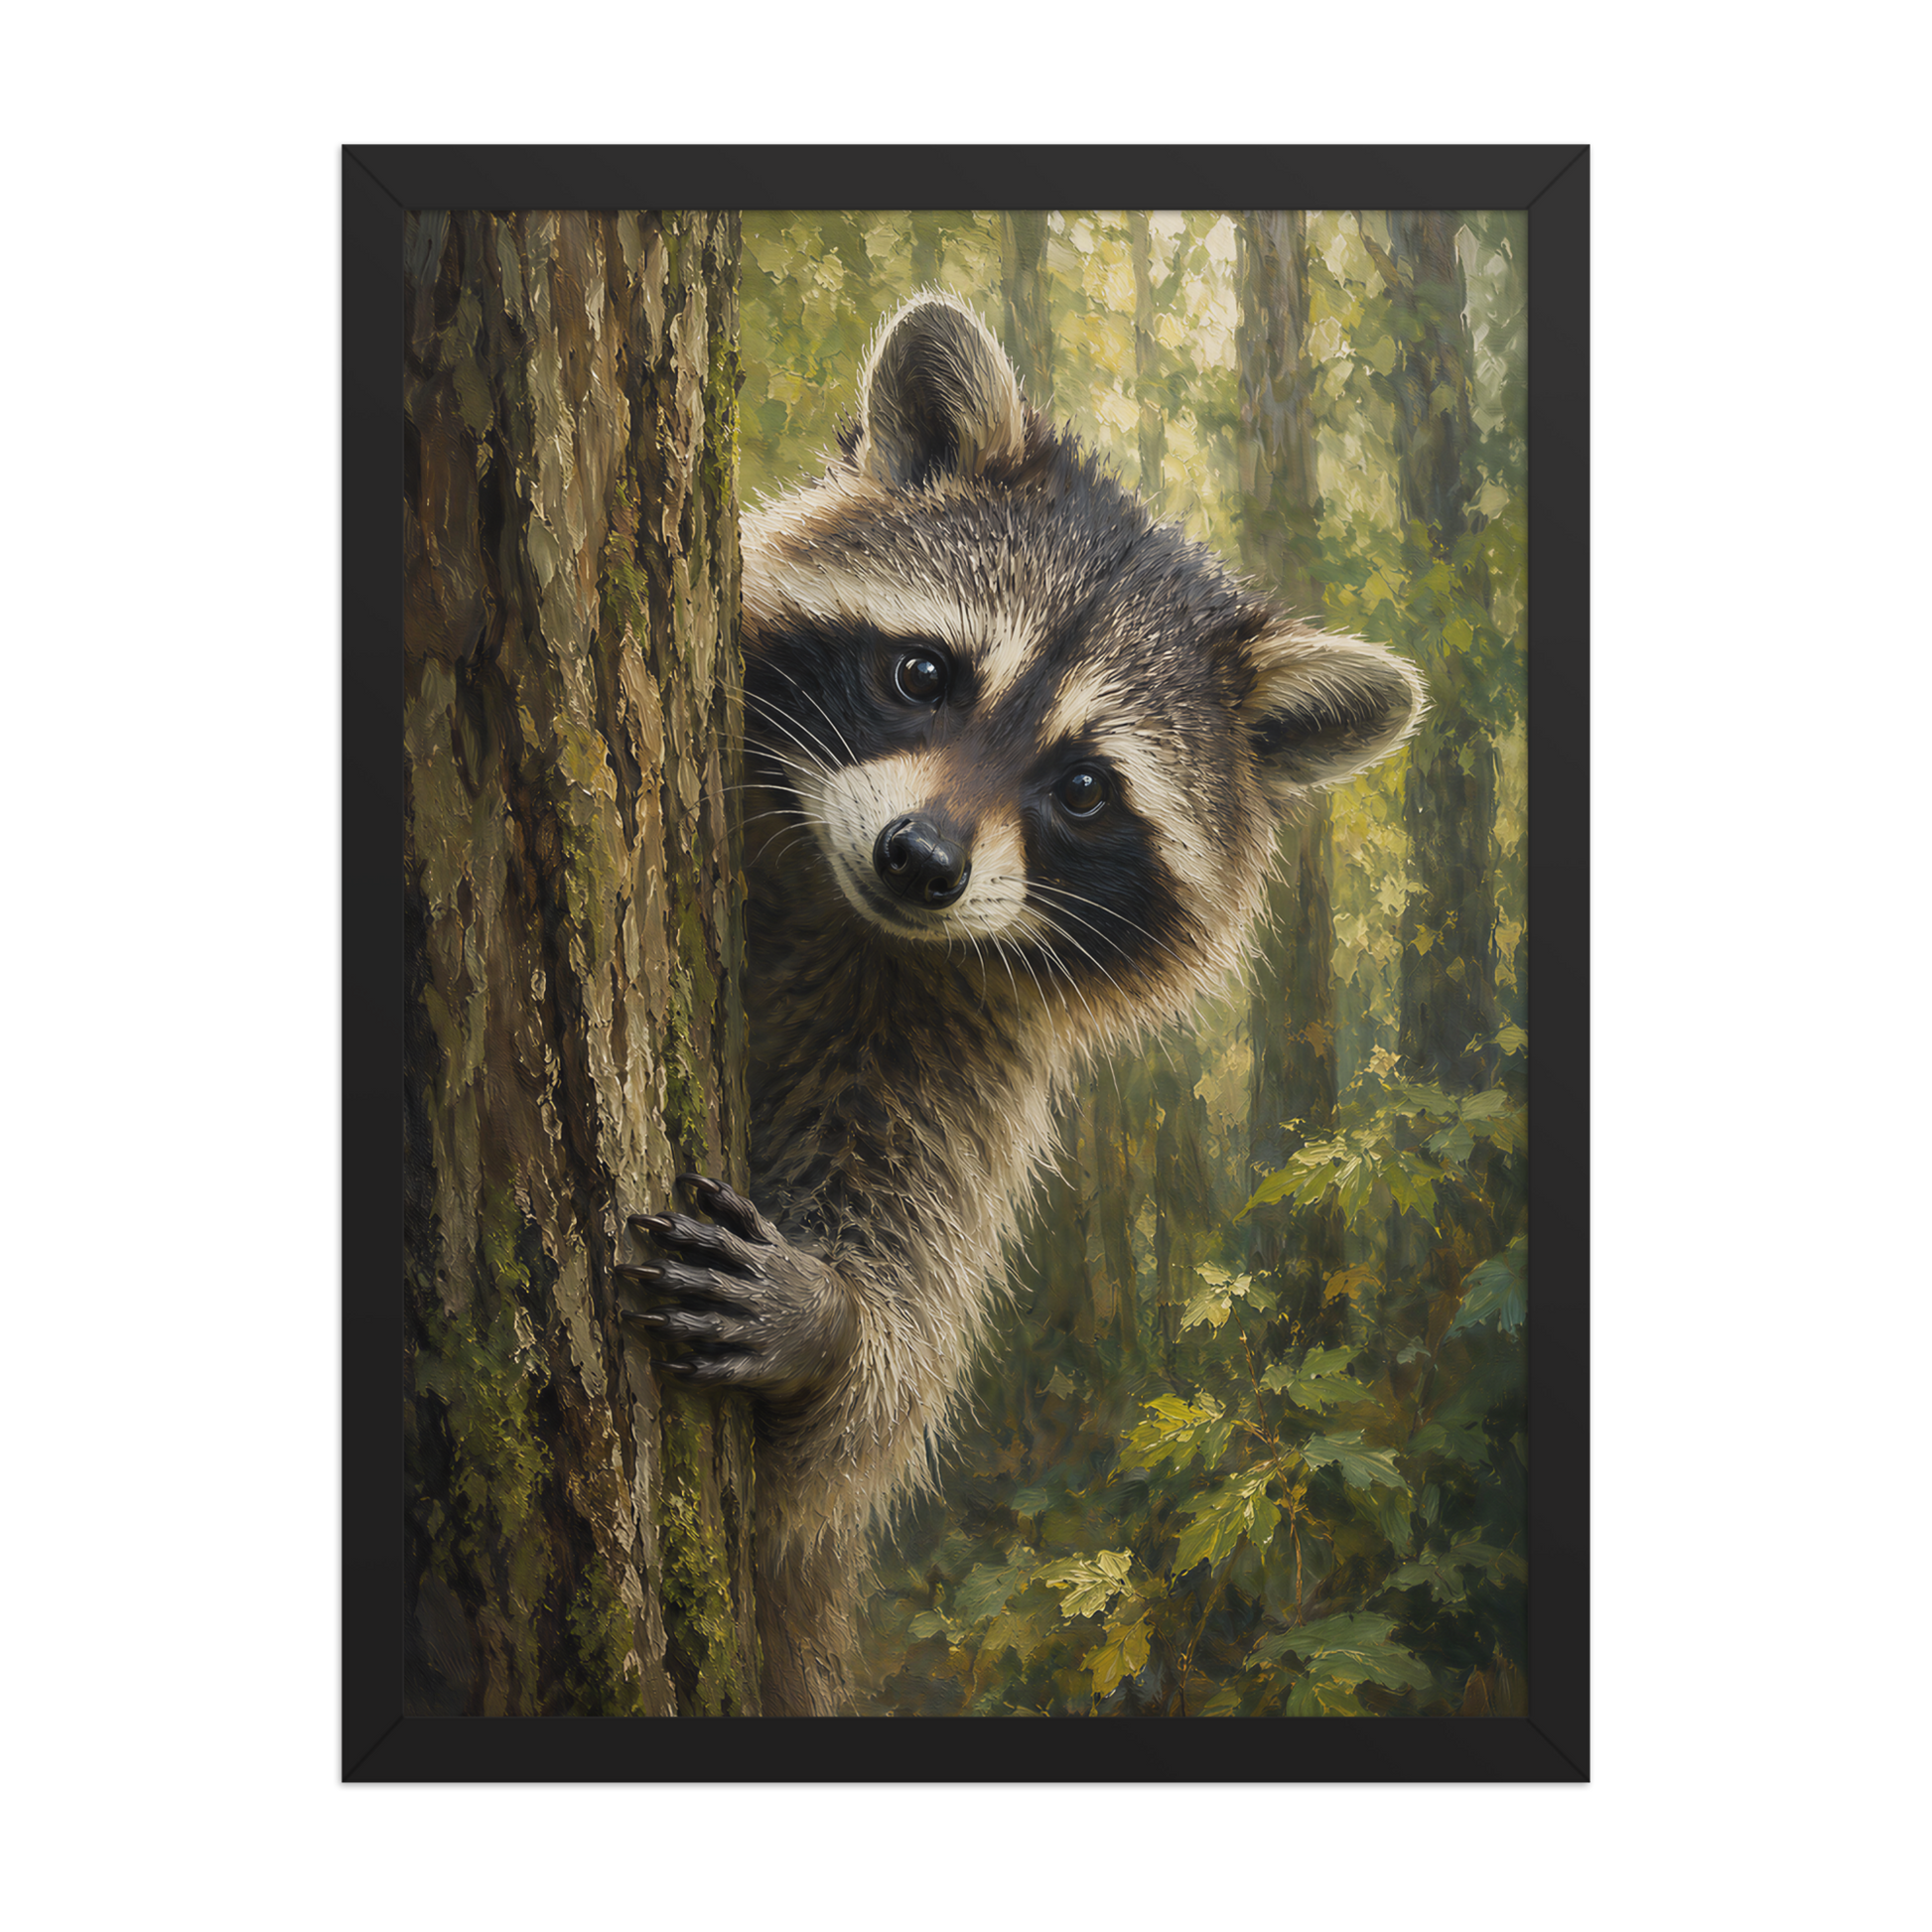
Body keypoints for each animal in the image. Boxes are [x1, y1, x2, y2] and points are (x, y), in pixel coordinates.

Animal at [618, 289, 1424, 1716]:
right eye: (923, 674)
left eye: (1085, 789)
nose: (920, 862)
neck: (845, 911)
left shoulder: (954, 1053)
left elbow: (865, 1410)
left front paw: (835, 1325)